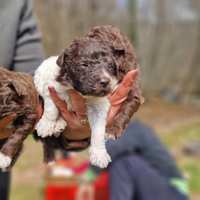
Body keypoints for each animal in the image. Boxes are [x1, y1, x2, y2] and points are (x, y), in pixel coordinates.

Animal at [34, 25, 142, 169]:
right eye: (84, 65)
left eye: (110, 66)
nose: (105, 82)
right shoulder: (51, 86)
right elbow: (51, 109)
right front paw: (46, 125)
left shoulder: (125, 95)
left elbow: (101, 130)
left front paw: (100, 153)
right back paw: (50, 155)